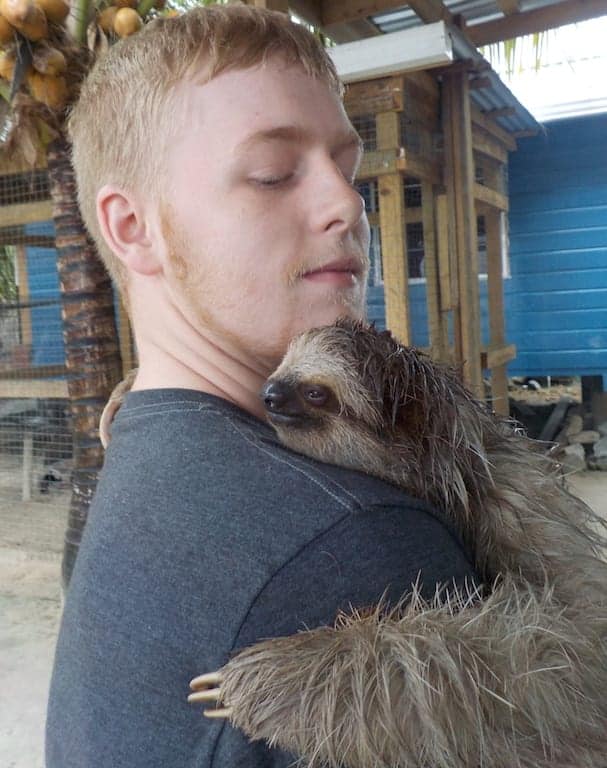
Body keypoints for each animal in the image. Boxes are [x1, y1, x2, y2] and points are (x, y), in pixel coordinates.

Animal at [103, 319, 607, 767]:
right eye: (279, 369)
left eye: (315, 392)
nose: (268, 393)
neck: (455, 475)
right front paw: (123, 389)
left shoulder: (523, 510)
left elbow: (557, 653)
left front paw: (276, 675)